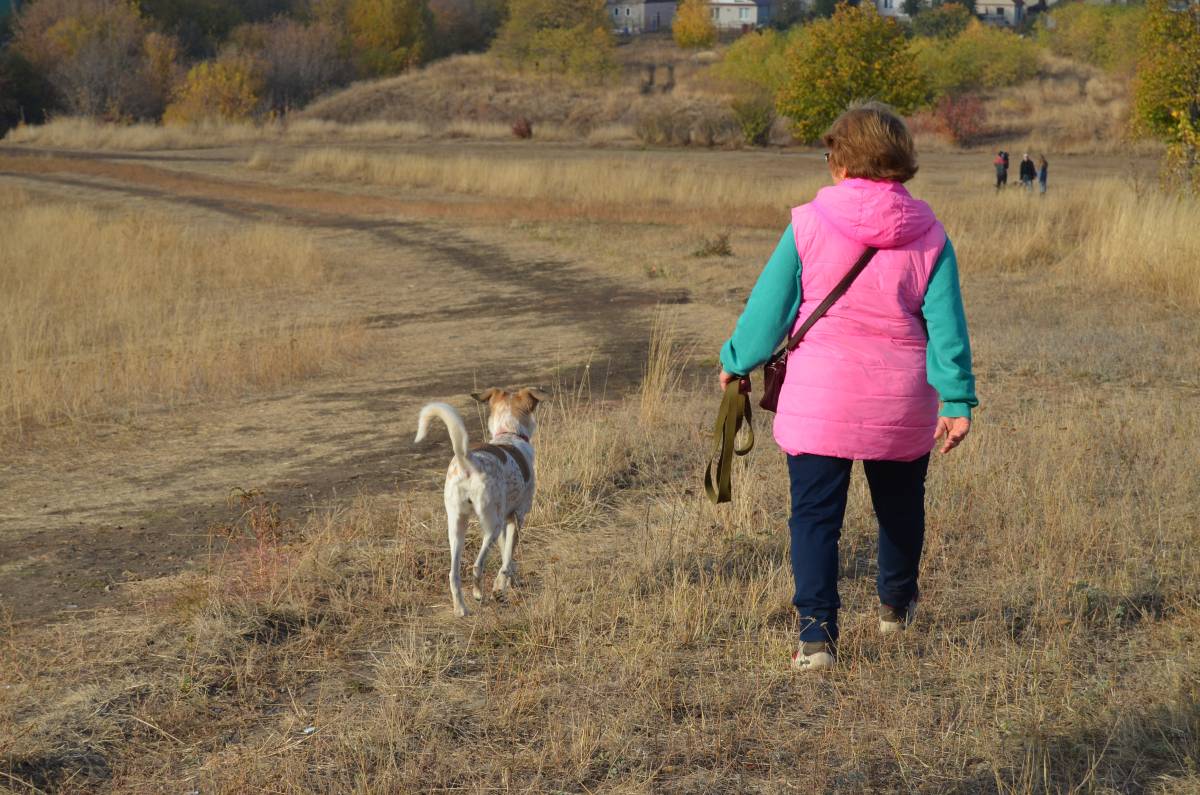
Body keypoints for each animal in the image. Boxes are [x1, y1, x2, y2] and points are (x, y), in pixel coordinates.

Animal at [412, 386, 544, 614]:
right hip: (492, 526)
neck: (509, 433)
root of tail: (469, 462)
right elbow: (507, 560)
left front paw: (509, 582)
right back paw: (478, 594)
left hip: (457, 526)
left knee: (453, 574)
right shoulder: (517, 517)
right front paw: (500, 587)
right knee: (476, 565)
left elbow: (507, 557)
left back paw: (461, 610)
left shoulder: (507, 520)